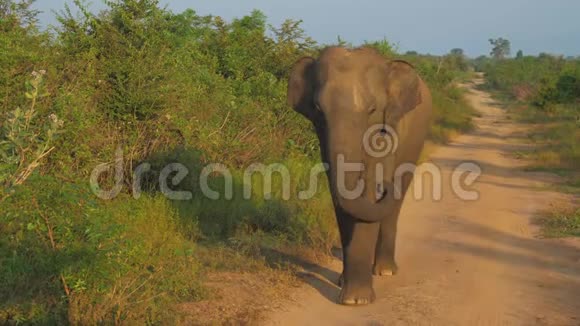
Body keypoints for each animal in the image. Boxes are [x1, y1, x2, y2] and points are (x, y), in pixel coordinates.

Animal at [288, 46, 432, 306]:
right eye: (318, 109)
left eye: (372, 110)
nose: (384, 185)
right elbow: (341, 197)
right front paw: (348, 293)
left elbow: (366, 198)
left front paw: (356, 301)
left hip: (414, 143)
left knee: (396, 203)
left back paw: (385, 270)